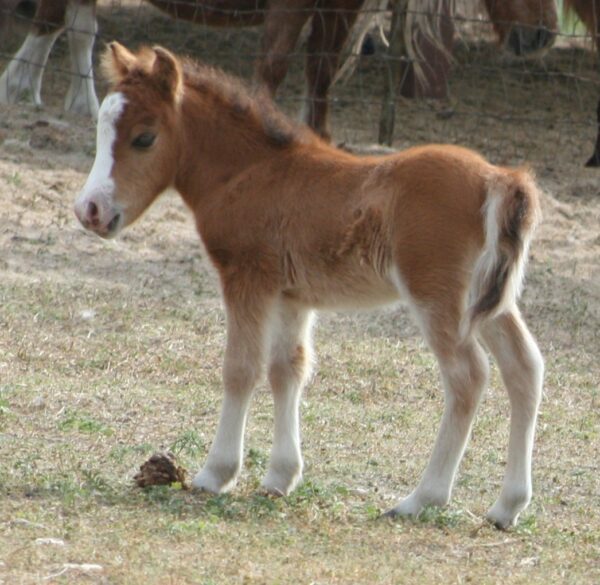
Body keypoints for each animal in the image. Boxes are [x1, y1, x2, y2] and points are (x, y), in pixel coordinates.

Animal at [74, 42, 544, 528]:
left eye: (144, 138)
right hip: (488, 300)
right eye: (102, 130)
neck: (251, 172)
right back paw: (507, 506)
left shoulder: (246, 279)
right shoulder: (291, 297)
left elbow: (240, 368)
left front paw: (215, 473)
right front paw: (279, 477)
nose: (90, 210)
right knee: (524, 368)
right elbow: (288, 370)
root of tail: (499, 179)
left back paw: (422, 498)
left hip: (437, 295)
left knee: (467, 376)